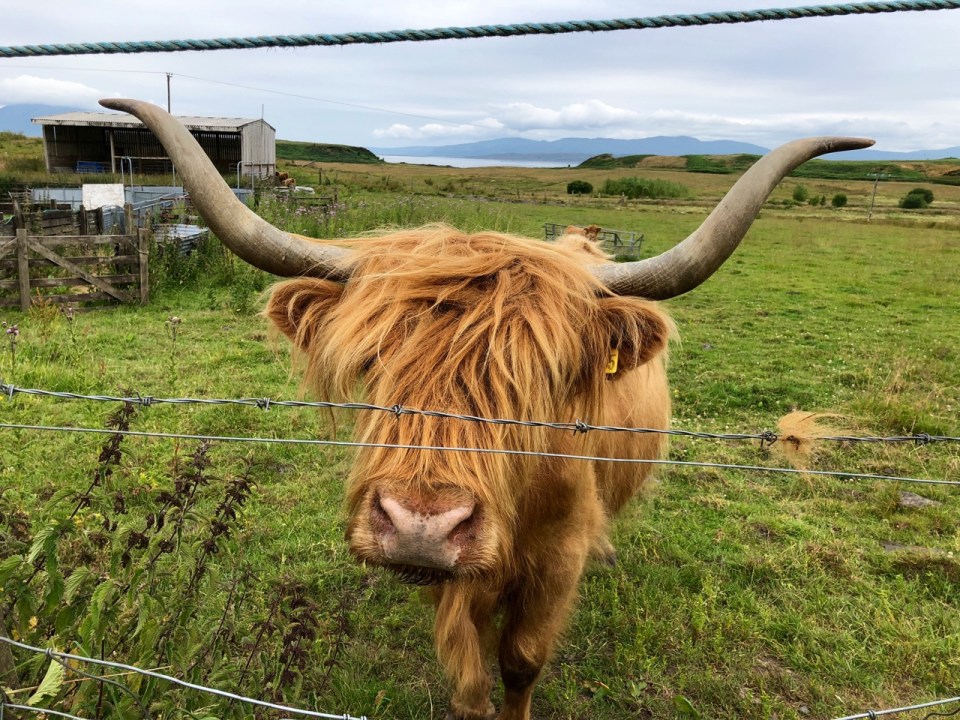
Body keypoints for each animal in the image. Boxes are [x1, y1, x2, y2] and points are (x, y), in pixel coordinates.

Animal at [100, 99, 871, 720]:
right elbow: (468, 672)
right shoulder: (452, 581)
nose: (420, 525)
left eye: (538, 378)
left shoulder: (556, 562)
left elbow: (522, 660)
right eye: (374, 362)